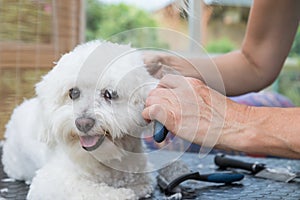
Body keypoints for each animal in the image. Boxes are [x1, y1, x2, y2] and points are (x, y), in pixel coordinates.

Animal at [1, 41, 157, 200]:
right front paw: (122, 193)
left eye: (109, 94)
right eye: (73, 92)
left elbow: (142, 184)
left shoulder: (142, 176)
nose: (83, 123)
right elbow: (95, 191)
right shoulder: (49, 182)